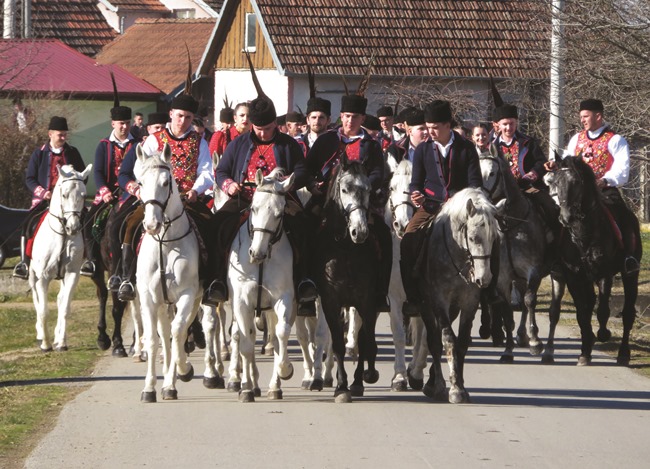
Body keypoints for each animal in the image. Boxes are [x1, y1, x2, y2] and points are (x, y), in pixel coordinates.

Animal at [29, 165, 91, 352]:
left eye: (84, 195)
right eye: (64, 195)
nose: (73, 227)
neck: (62, 235)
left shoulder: (71, 274)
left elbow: (64, 307)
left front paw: (61, 342)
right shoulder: (42, 277)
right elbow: (43, 309)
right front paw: (45, 344)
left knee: (60, 299)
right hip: (32, 275)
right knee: (36, 299)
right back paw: (40, 334)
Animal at [135, 144, 208, 402]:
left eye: (167, 182)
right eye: (140, 182)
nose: (151, 225)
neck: (165, 244)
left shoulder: (187, 294)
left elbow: (179, 332)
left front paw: (181, 374)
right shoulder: (149, 297)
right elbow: (154, 339)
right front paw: (149, 388)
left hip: (196, 299)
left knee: (183, 330)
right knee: (165, 333)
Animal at [225, 166, 292, 400]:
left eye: (279, 214)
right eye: (253, 208)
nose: (257, 254)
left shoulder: (283, 298)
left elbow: (281, 333)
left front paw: (284, 371)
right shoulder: (242, 302)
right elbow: (245, 343)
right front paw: (245, 387)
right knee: (242, 335)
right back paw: (246, 382)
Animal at [312, 159, 380, 400]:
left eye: (368, 189)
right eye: (344, 189)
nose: (359, 231)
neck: (346, 250)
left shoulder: (367, 301)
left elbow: (365, 340)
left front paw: (364, 377)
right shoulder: (330, 302)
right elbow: (337, 344)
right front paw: (341, 387)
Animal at [544, 155, 640, 364]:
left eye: (577, 183)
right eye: (556, 182)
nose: (566, 217)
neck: (584, 235)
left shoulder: (604, 273)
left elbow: (602, 310)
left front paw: (603, 334)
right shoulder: (574, 276)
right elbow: (582, 312)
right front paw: (585, 352)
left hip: (630, 274)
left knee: (628, 313)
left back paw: (623, 353)